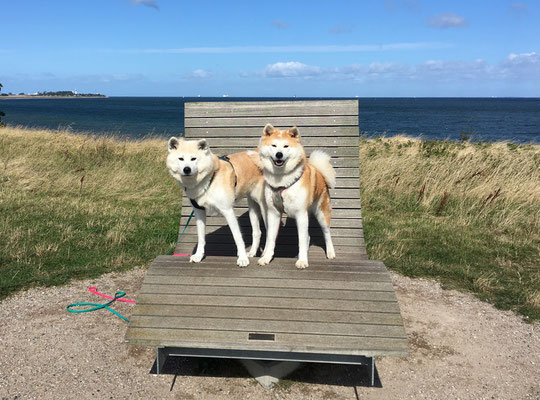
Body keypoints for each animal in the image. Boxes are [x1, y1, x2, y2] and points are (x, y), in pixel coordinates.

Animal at [165, 137, 266, 266]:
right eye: (181, 158)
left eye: (193, 158)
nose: (186, 169)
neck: (209, 178)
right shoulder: (199, 212)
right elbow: (201, 238)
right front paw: (198, 255)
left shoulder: (228, 211)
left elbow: (237, 237)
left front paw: (242, 258)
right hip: (252, 209)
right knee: (257, 232)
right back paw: (252, 252)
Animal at [255, 124, 336, 268]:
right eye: (274, 145)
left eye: (286, 146)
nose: (279, 154)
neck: (281, 181)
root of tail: (320, 173)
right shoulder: (273, 213)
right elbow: (270, 239)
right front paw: (266, 257)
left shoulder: (300, 214)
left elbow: (301, 240)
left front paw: (302, 261)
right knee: (308, 237)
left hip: (321, 213)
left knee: (326, 233)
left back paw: (330, 252)